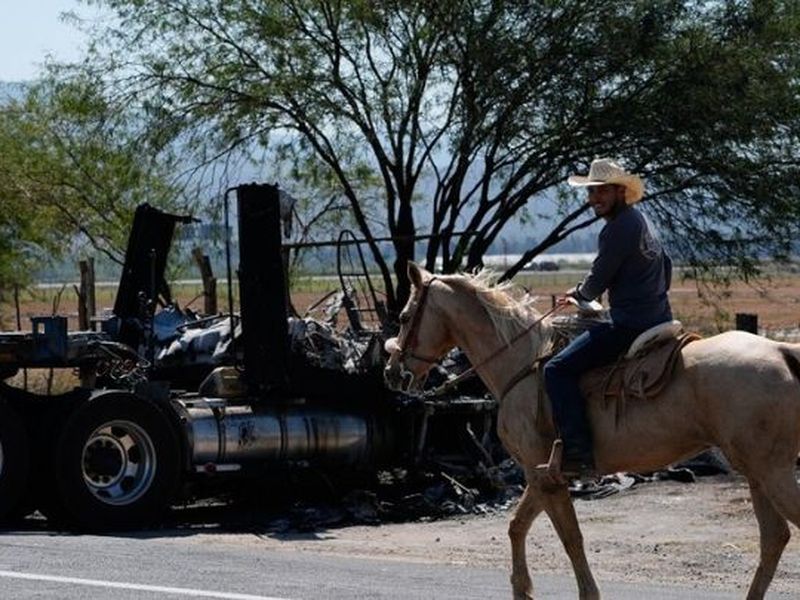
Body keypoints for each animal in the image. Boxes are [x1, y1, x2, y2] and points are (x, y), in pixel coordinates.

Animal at [383, 262, 800, 600]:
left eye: (404, 317)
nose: (392, 373)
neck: (520, 366)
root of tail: (781, 351)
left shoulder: (546, 478)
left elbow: (571, 538)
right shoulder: (539, 475)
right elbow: (517, 526)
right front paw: (522, 590)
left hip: (771, 471)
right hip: (755, 473)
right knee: (774, 538)